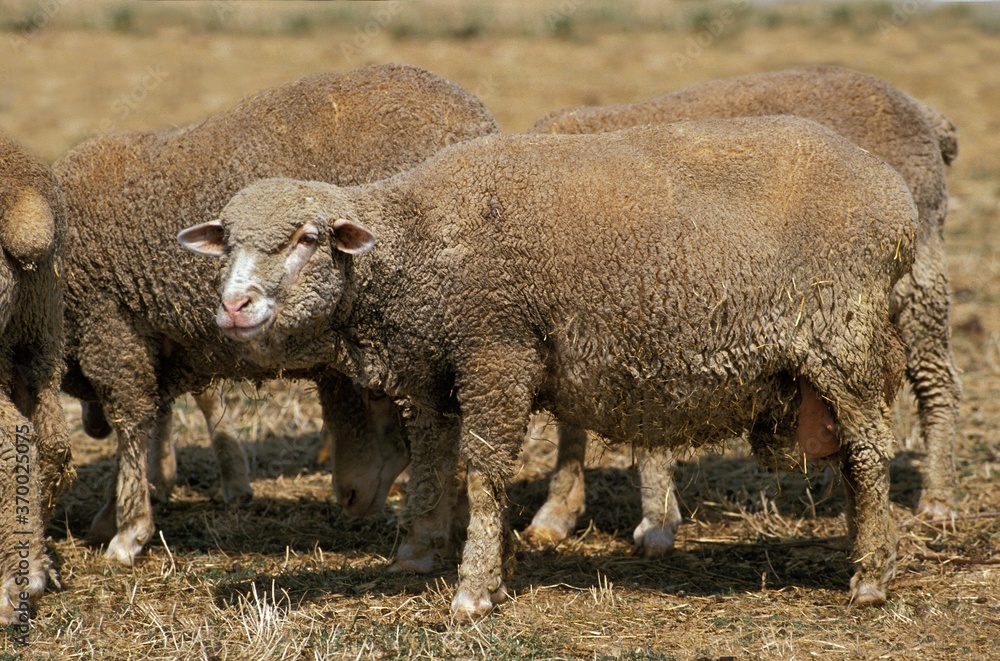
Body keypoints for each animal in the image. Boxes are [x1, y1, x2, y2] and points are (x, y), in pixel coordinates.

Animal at [54, 63, 500, 566]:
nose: (90, 429)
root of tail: (477, 117)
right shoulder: (157, 341)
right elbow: (152, 413)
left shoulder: (109, 324)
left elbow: (131, 422)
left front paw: (126, 529)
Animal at [182, 115, 918, 619]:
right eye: (228, 244)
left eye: (307, 239)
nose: (234, 306)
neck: (415, 248)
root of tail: (895, 199)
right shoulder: (432, 373)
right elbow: (431, 460)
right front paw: (418, 550)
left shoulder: (495, 352)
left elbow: (484, 474)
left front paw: (474, 589)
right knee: (854, 463)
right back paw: (860, 549)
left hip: (844, 339)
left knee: (870, 453)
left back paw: (872, 577)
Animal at [534, 65, 960, 525]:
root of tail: (921, 111)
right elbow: (572, 417)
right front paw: (560, 508)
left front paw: (656, 514)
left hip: (917, 274)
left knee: (938, 379)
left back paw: (937, 498)